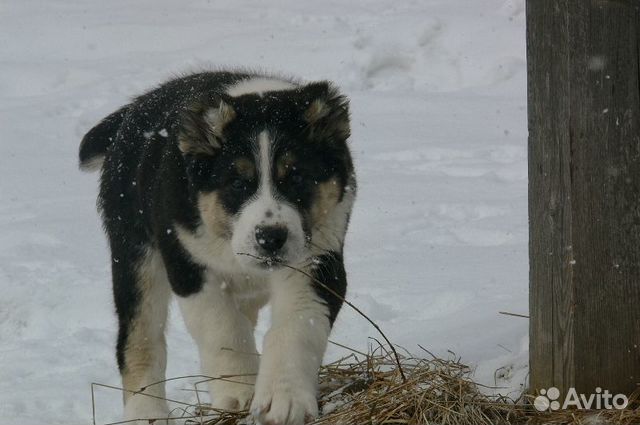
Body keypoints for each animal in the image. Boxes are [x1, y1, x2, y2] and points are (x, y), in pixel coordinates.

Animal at [79, 71, 356, 422]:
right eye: (237, 183)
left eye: (297, 178)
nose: (270, 237)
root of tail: (134, 109)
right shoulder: (188, 264)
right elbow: (223, 328)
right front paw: (240, 393)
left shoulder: (317, 259)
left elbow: (296, 326)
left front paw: (283, 399)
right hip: (134, 252)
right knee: (140, 340)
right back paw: (146, 413)